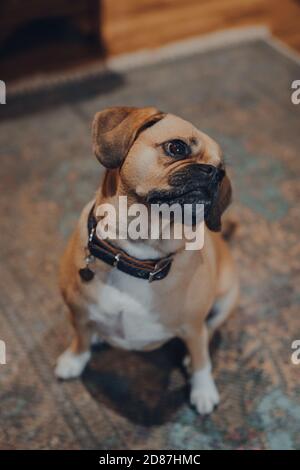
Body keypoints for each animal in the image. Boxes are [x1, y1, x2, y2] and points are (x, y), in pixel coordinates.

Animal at [55, 106, 239, 414]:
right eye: (177, 147)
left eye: (222, 171)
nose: (214, 173)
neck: (136, 254)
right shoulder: (77, 312)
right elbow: (80, 338)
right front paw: (74, 359)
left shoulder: (193, 326)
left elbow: (201, 358)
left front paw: (203, 390)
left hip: (225, 298)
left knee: (209, 331)